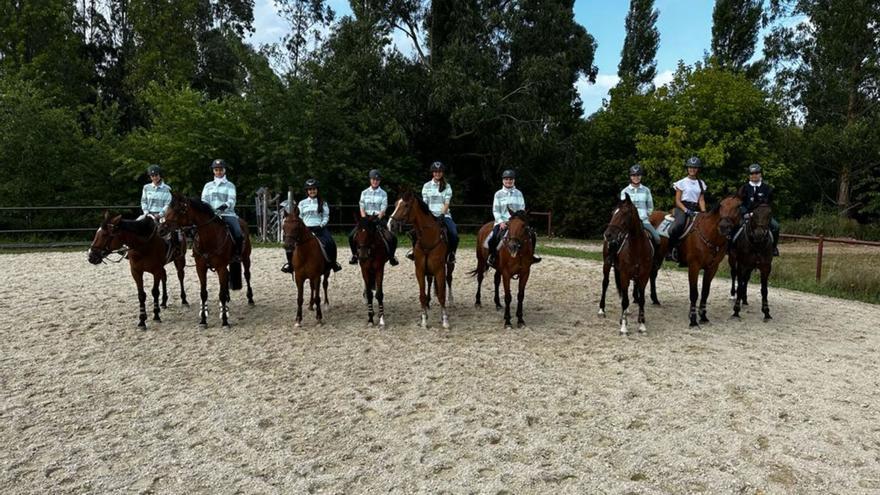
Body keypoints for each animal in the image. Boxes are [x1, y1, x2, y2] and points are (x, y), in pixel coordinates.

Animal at [163, 195, 253, 330]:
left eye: (180, 210)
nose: (161, 228)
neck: (209, 238)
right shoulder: (200, 268)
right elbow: (203, 293)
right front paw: (203, 320)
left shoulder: (221, 268)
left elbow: (221, 294)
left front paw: (225, 321)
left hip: (246, 258)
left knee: (247, 275)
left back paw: (250, 299)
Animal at [388, 190, 450, 330]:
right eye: (395, 204)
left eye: (406, 205)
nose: (391, 224)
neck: (428, 240)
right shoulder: (420, 270)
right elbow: (422, 295)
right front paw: (424, 320)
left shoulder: (440, 270)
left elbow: (442, 295)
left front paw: (445, 320)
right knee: (430, 282)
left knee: (449, 281)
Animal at [600, 196, 652, 336]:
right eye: (613, 213)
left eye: (624, 214)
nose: (607, 234)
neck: (637, 248)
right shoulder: (624, 274)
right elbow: (625, 301)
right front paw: (623, 327)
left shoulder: (644, 276)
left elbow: (641, 300)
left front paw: (642, 325)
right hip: (607, 265)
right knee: (605, 283)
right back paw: (601, 310)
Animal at [672, 196, 744, 328]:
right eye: (721, 205)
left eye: (738, 206)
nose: (723, 226)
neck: (709, 234)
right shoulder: (694, 266)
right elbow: (694, 293)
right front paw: (693, 320)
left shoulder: (712, 268)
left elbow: (705, 292)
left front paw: (703, 317)